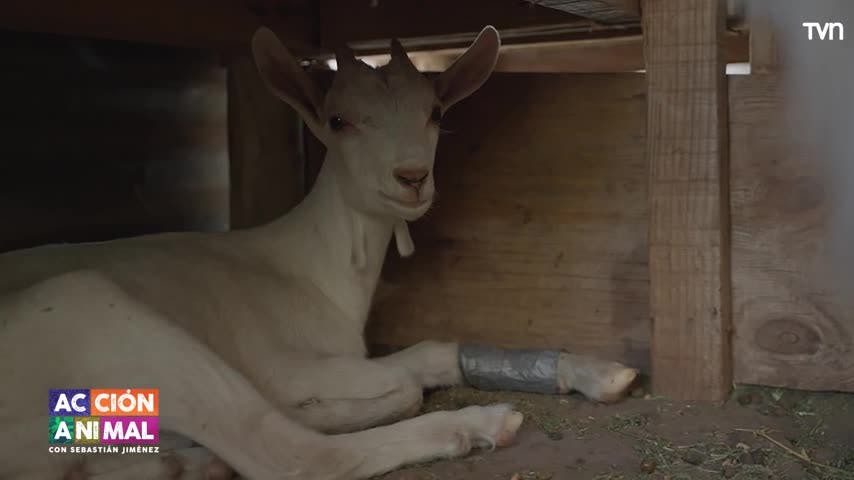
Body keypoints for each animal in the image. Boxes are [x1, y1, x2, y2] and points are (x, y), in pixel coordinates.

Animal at [0, 26, 638, 479]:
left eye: (435, 113)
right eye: (338, 120)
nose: (412, 177)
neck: (310, 268)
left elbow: (430, 354)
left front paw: (595, 370)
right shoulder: (279, 362)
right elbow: (404, 379)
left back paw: (184, 463)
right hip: (93, 313)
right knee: (288, 453)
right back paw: (479, 424)